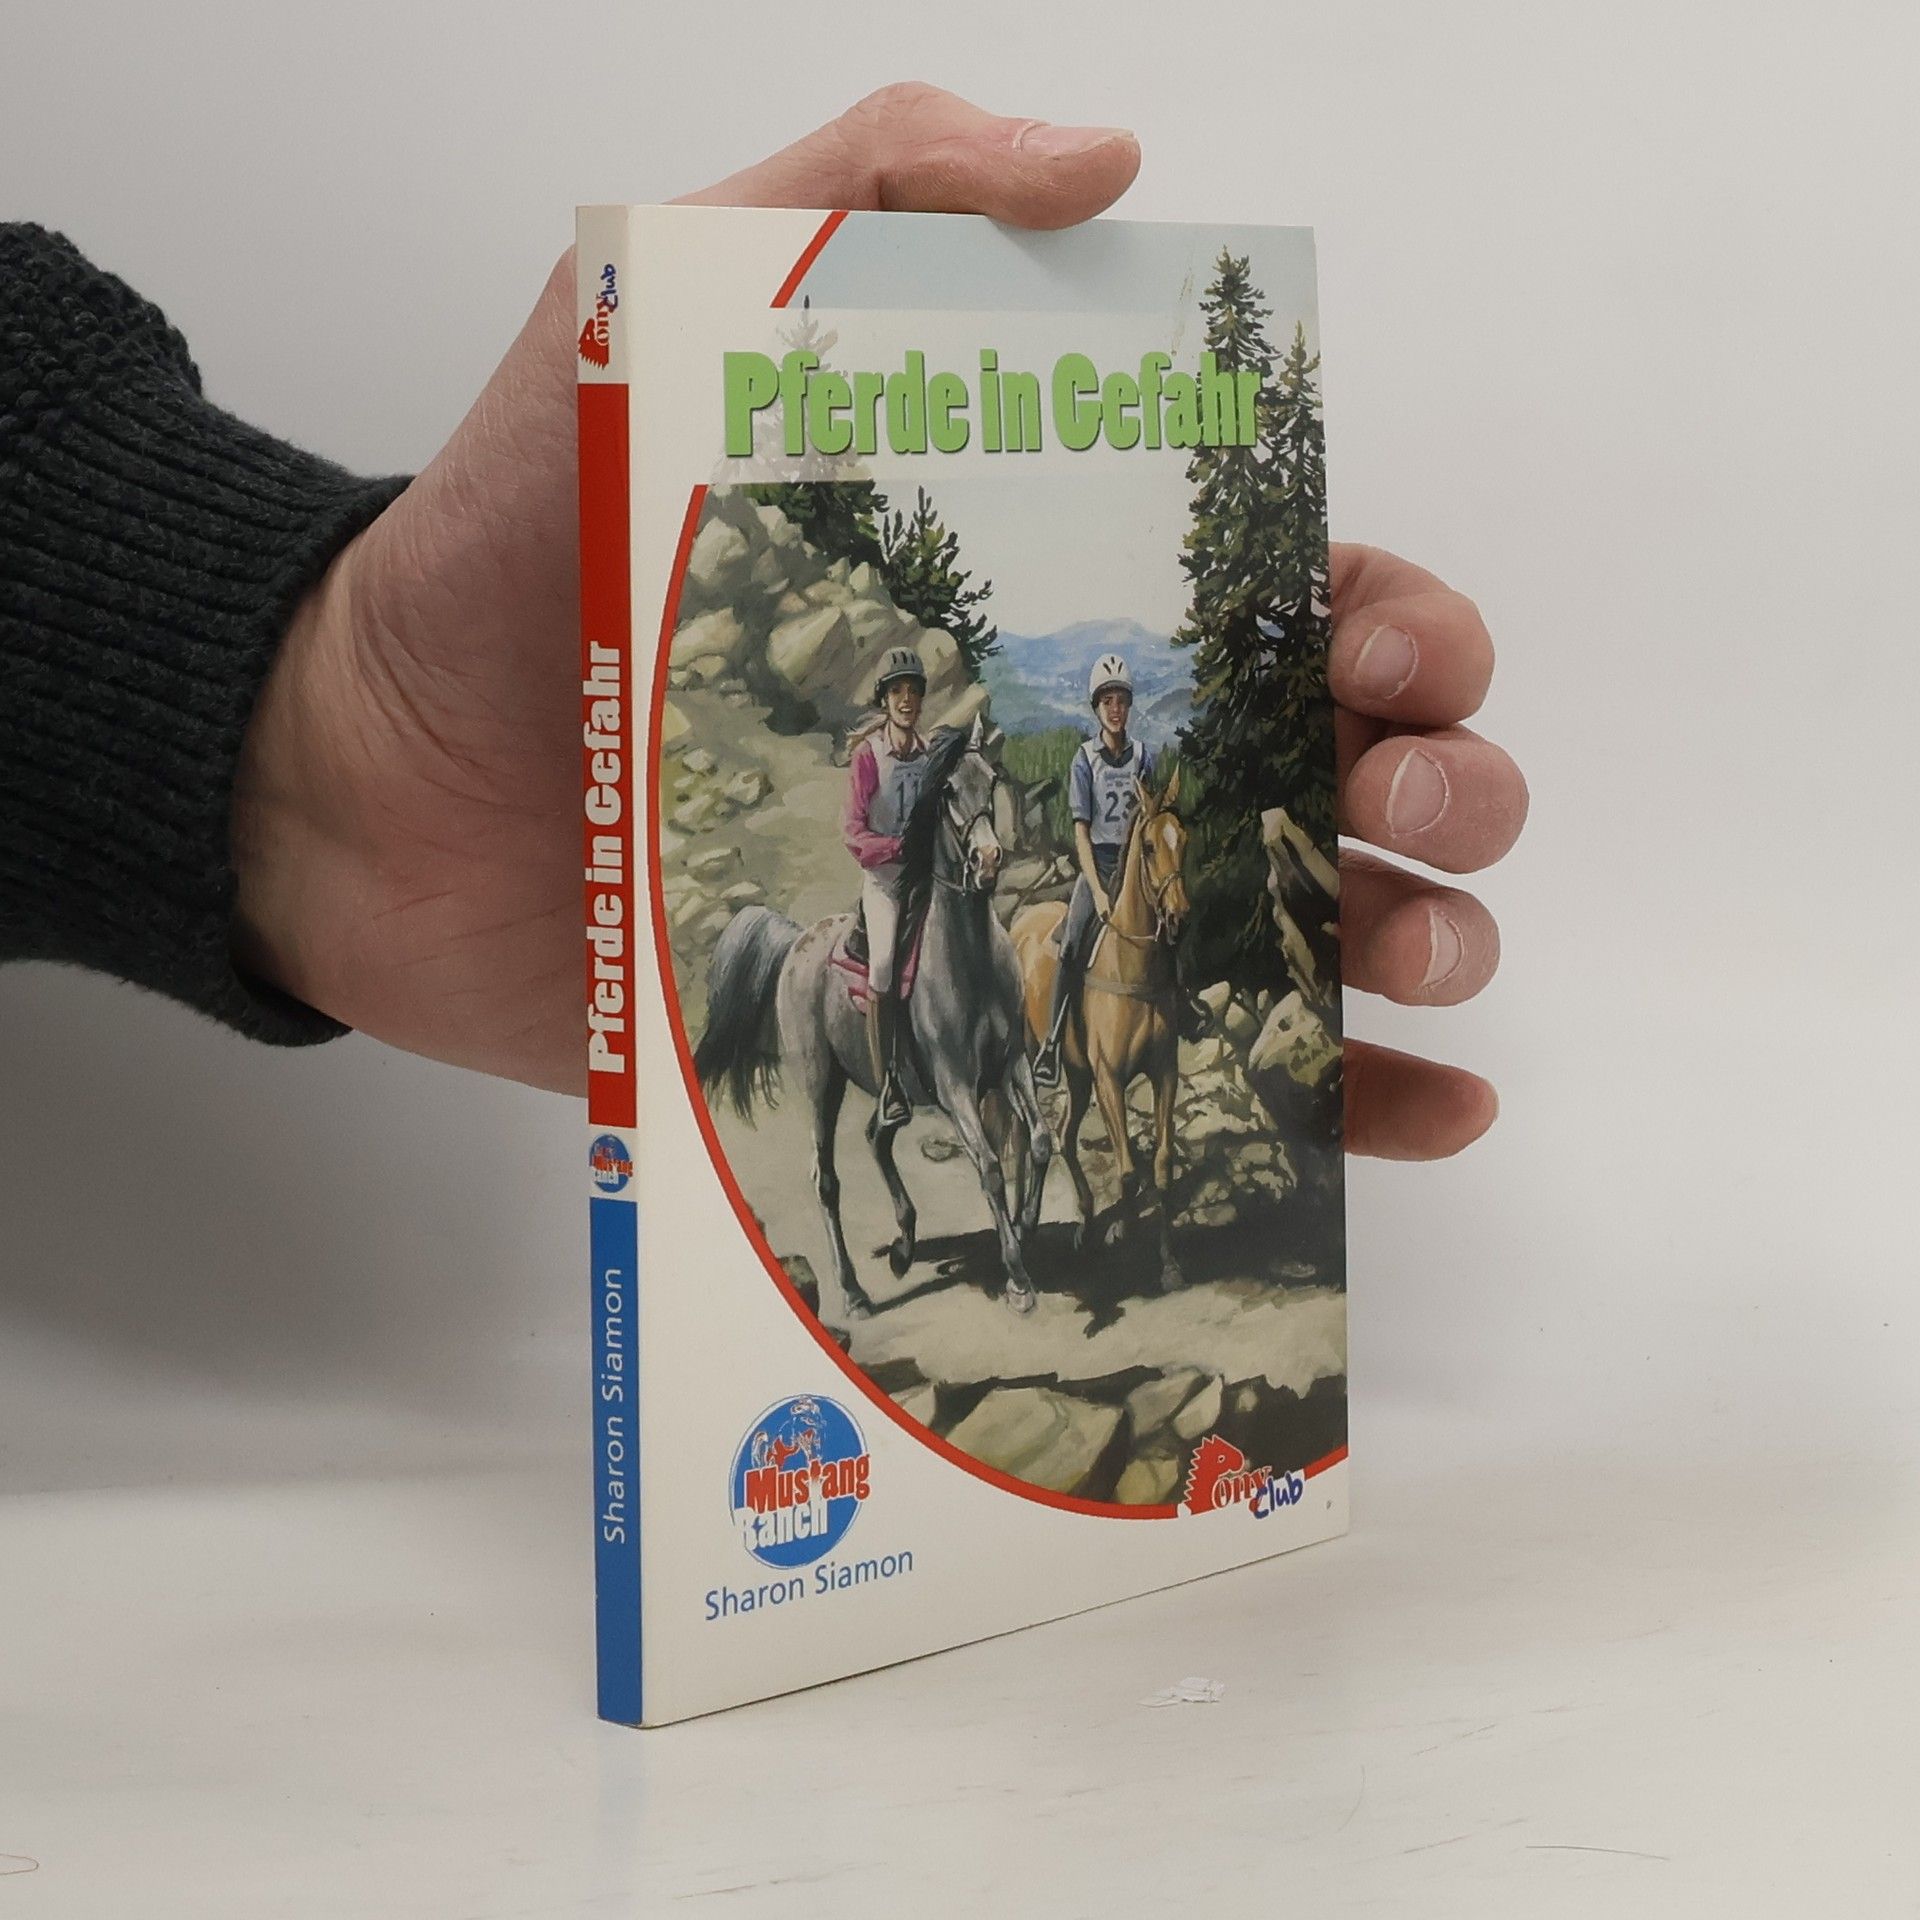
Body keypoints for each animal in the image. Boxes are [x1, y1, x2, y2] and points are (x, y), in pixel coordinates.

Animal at [693, 715, 1053, 1324]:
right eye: (947, 790)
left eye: (991, 778)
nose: (987, 861)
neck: (971, 959)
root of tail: (797, 943)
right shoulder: (956, 1087)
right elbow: (988, 1166)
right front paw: (1019, 1277)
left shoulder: (1012, 1065)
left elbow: (1042, 1139)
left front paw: (1028, 1224)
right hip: (821, 1084)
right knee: (826, 1179)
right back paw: (854, 1293)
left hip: (890, 1087)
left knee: (876, 1137)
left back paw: (906, 1247)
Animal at [1009, 771, 1191, 1291]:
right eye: (1148, 846)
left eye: (1184, 840)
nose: (1178, 916)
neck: (1133, 968)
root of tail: (1021, 921)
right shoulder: (1110, 1078)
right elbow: (1128, 1171)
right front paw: (1123, 1235)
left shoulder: (1163, 1073)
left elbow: (1162, 1166)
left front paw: (1168, 1263)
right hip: (1031, 1060)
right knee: (1020, 1136)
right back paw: (1024, 1223)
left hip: (1077, 1075)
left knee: (1066, 1135)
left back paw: (1085, 1221)